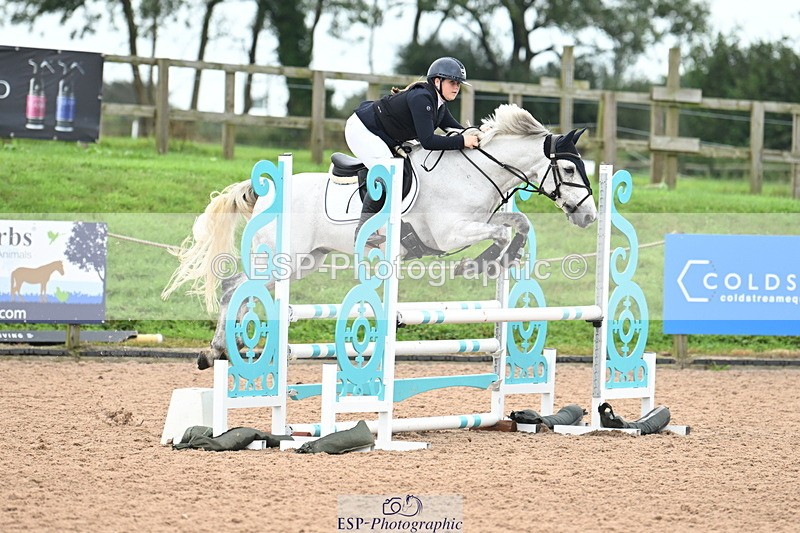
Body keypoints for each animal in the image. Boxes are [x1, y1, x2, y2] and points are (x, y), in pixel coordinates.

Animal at [162, 104, 597, 370]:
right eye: (569, 170)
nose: (590, 216)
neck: (472, 172)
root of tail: (268, 190)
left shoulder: (481, 218)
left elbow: (518, 224)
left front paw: (502, 259)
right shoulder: (449, 234)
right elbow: (500, 232)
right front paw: (481, 263)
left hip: (302, 262)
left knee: (240, 289)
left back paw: (226, 350)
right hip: (277, 259)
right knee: (234, 288)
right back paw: (219, 350)